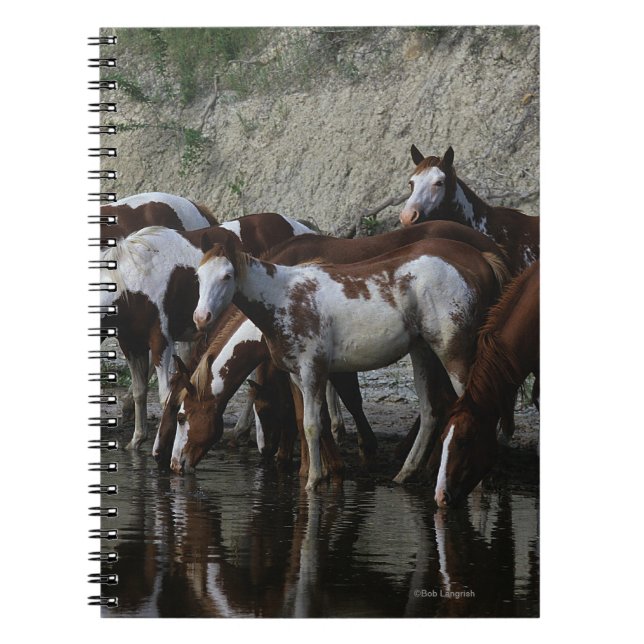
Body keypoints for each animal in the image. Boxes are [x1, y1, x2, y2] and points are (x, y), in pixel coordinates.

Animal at [101, 213, 316, 450]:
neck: (134, 281)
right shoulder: (130, 344)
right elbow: (140, 391)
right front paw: (137, 439)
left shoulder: (161, 340)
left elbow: (165, 395)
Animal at [192, 232, 507, 490]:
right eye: (198, 276)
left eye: (227, 276)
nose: (201, 317)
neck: (283, 296)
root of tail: (478, 263)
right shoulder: (297, 374)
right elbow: (311, 421)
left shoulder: (313, 370)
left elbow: (311, 424)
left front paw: (314, 479)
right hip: (423, 353)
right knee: (430, 411)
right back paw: (406, 473)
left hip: (453, 353)